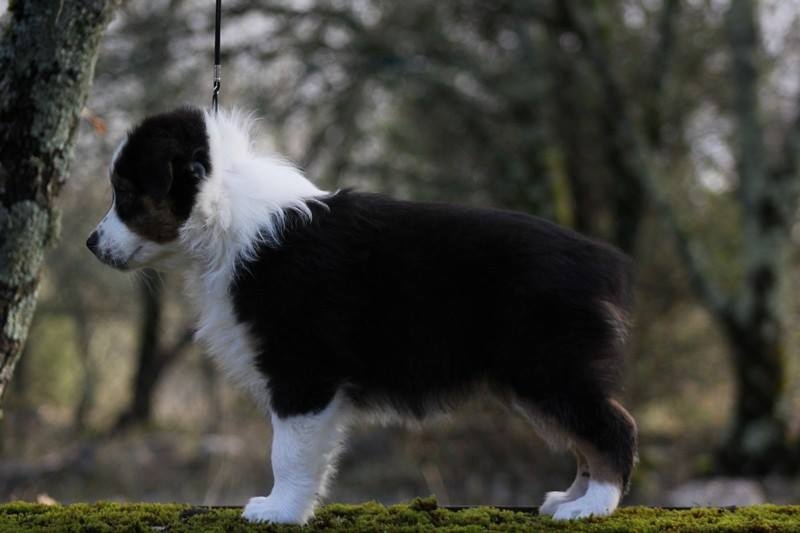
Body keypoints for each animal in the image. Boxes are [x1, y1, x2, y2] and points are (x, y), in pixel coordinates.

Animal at [87, 107, 637, 523]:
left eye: (126, 194)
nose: (90, 243)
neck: (224, 215)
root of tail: (598, 260)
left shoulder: (302, 370)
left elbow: (287, 451)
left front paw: (279, 511)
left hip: (547, 366)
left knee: (613, 428)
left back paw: (592, 506)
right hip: (543, 375)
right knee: (588, 434)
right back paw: (569, 497)